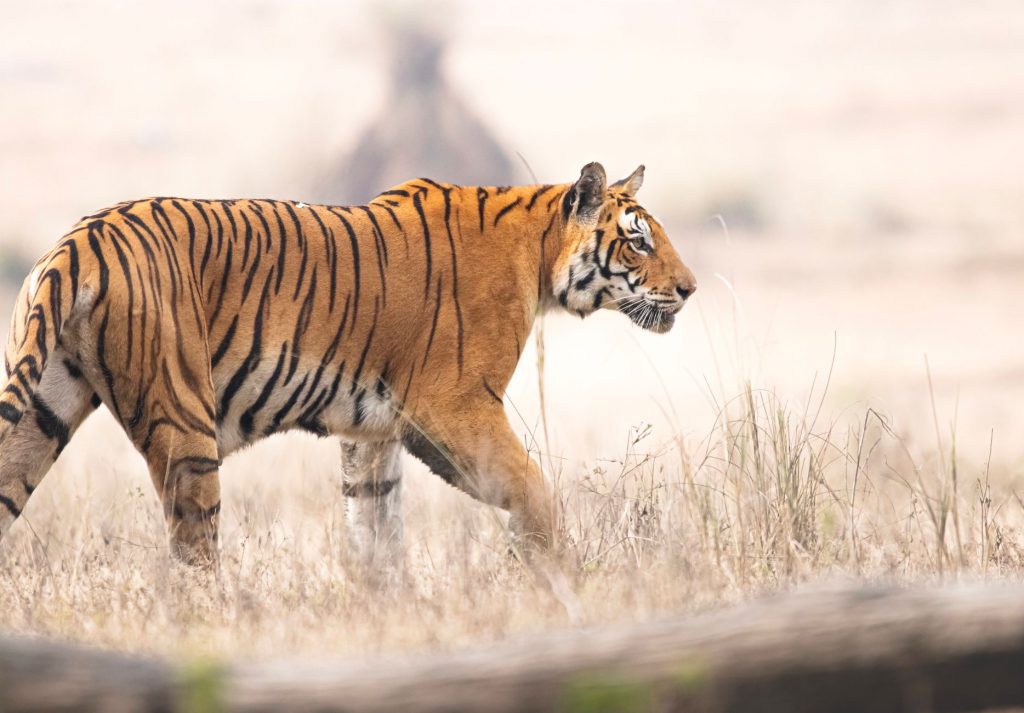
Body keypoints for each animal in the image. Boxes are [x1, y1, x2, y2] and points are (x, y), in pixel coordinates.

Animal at [0, 162, 696, 568]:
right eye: (638, 240)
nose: (689, 289)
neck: (539, 254)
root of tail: (79, 240)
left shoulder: (375, 429)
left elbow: (374, 529)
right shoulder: (456, 406)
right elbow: (532, 490)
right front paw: (552, 575)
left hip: (42, 409)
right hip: (185, 426)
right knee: (193, 556)